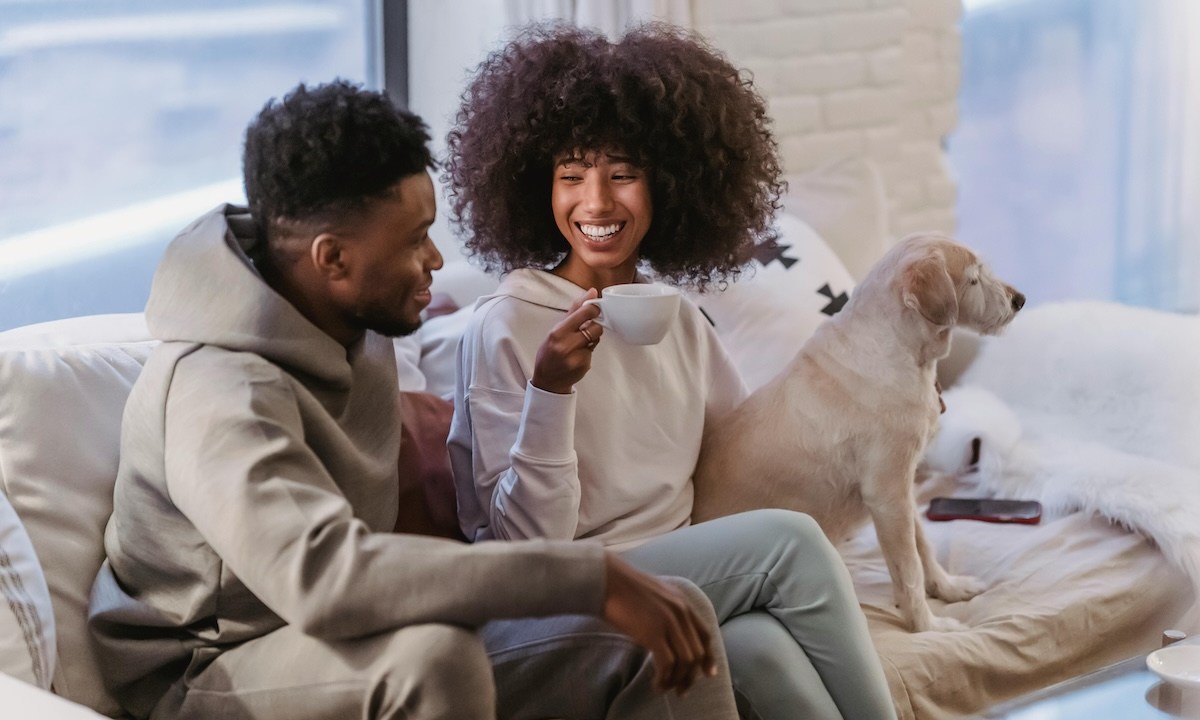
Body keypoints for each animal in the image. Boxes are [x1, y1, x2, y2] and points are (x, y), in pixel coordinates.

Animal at [696, 235, 1022, 628]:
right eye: (974, 278)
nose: (1020, 300)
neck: (902, 351)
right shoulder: (887, 494)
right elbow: (909, 568)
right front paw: (926, 625)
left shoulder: (902, 488)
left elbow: (924, 547)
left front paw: (947, 588)